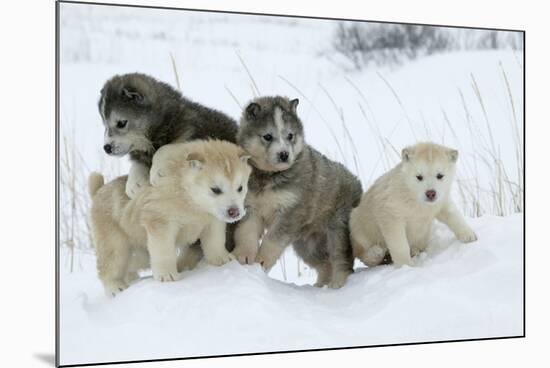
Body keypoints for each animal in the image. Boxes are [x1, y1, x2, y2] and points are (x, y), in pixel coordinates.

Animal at [89, 139, 252, 298]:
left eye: (240, 188)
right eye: (215, 189)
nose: (234, 212)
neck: (189, 197)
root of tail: (99, 190)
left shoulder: (213, 221)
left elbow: (215, 242)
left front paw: (222, 260)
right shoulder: (160, 223)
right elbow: (164, 251)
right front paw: (167, 276)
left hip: (139, 253)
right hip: (115, 245)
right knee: (109, 267)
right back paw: (116, 288)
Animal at [99, 72, 237, 198]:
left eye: (121, 123)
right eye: (104, 124)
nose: (106, 148)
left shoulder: (197, 134)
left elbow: (166, 148)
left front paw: (156, 172)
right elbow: (138, 164)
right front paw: (134, 183)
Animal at [235, 96, 364, 288]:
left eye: (290, 135)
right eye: (267, 136)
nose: (284, 154)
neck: (270, 176)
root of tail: (357, 182)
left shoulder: (291, 211)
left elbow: (272, 240)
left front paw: (262, 260)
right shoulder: (250, 208)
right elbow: (246, 232)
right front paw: (244, 256)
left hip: (338, 231)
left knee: (341, 261)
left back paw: (337, 285)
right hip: (306, 244)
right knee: (325, 264)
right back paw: (319, 286)